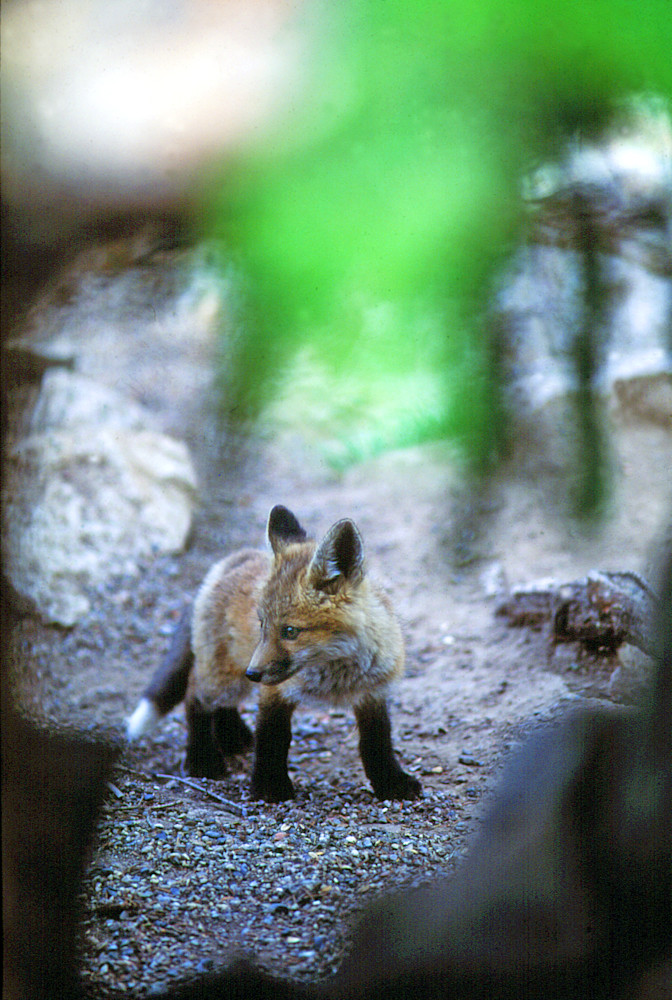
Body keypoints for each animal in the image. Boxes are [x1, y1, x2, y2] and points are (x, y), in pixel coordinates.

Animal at [126, 505, 421, 803]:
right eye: (262, 625)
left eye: (290, 631)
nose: (253, 673)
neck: (335, 675)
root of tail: (233, 559)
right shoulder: (275, 691)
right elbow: (273, 738)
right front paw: (270, 787)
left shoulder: (373, 692)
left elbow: (377, 742)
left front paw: (391, 782)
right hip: (225, 679)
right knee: (194, 696)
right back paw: (203, 759)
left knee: (220, 706)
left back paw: (232, 738)